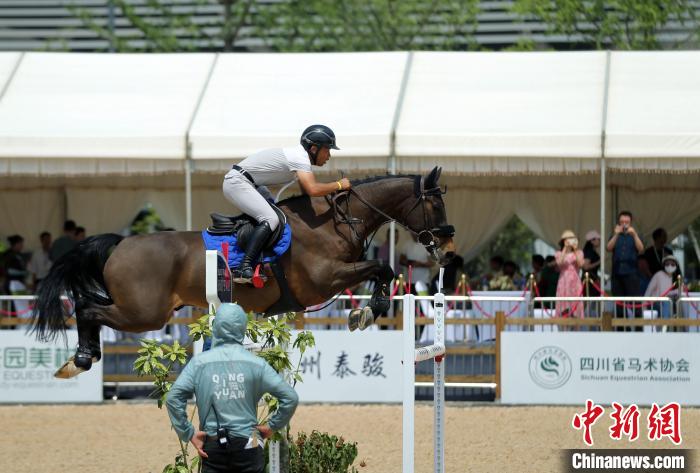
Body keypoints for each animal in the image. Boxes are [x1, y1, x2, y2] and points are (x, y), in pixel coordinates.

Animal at [32, 166, 456, 376]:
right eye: (436, 206)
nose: (449, 252)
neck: (334, 222)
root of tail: (120, 243)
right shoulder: (324, 280)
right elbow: (382, 267)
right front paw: (368, 311)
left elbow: (382, 270)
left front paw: (366, 311)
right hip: (143, 313)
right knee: (87, 308)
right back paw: (81, 358)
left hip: (140, 309)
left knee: (86, 305)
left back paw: (81, 358)